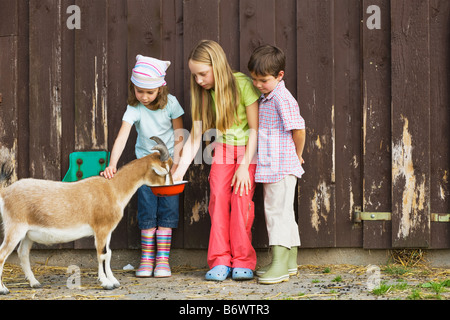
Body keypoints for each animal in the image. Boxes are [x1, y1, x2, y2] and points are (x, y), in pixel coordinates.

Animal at [0, 136, 173, 294]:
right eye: (165, 172)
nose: (170, 189)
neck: (113, 188)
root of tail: (5, 192)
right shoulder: (101, 229)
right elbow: (101, 254)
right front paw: (106, 283)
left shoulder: (108, 231)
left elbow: (108, 253)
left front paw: (114, 281)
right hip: (15, 228)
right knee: (2, 254)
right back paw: (4, 289)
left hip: (27, 233)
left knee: (22, 253)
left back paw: (34, 283)